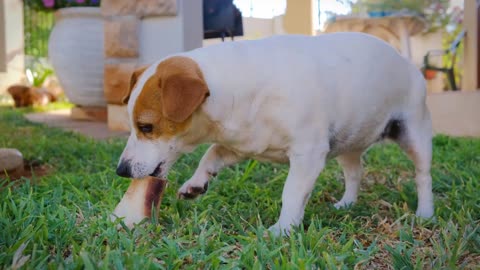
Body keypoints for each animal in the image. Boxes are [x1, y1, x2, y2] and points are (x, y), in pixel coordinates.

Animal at [113, 32, 436, 234]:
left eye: (146, 127)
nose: (121, 170)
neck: (237, 89)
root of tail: (405, 61)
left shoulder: (308, 154)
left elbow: (291, 193)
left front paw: (283, 228)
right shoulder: (238, 145)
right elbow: (210, 155)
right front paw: (196, 182)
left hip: (414, 134)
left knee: (422, 176)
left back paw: (425, 212)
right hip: (349, 142)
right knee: (355, 173)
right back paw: (347, 203)